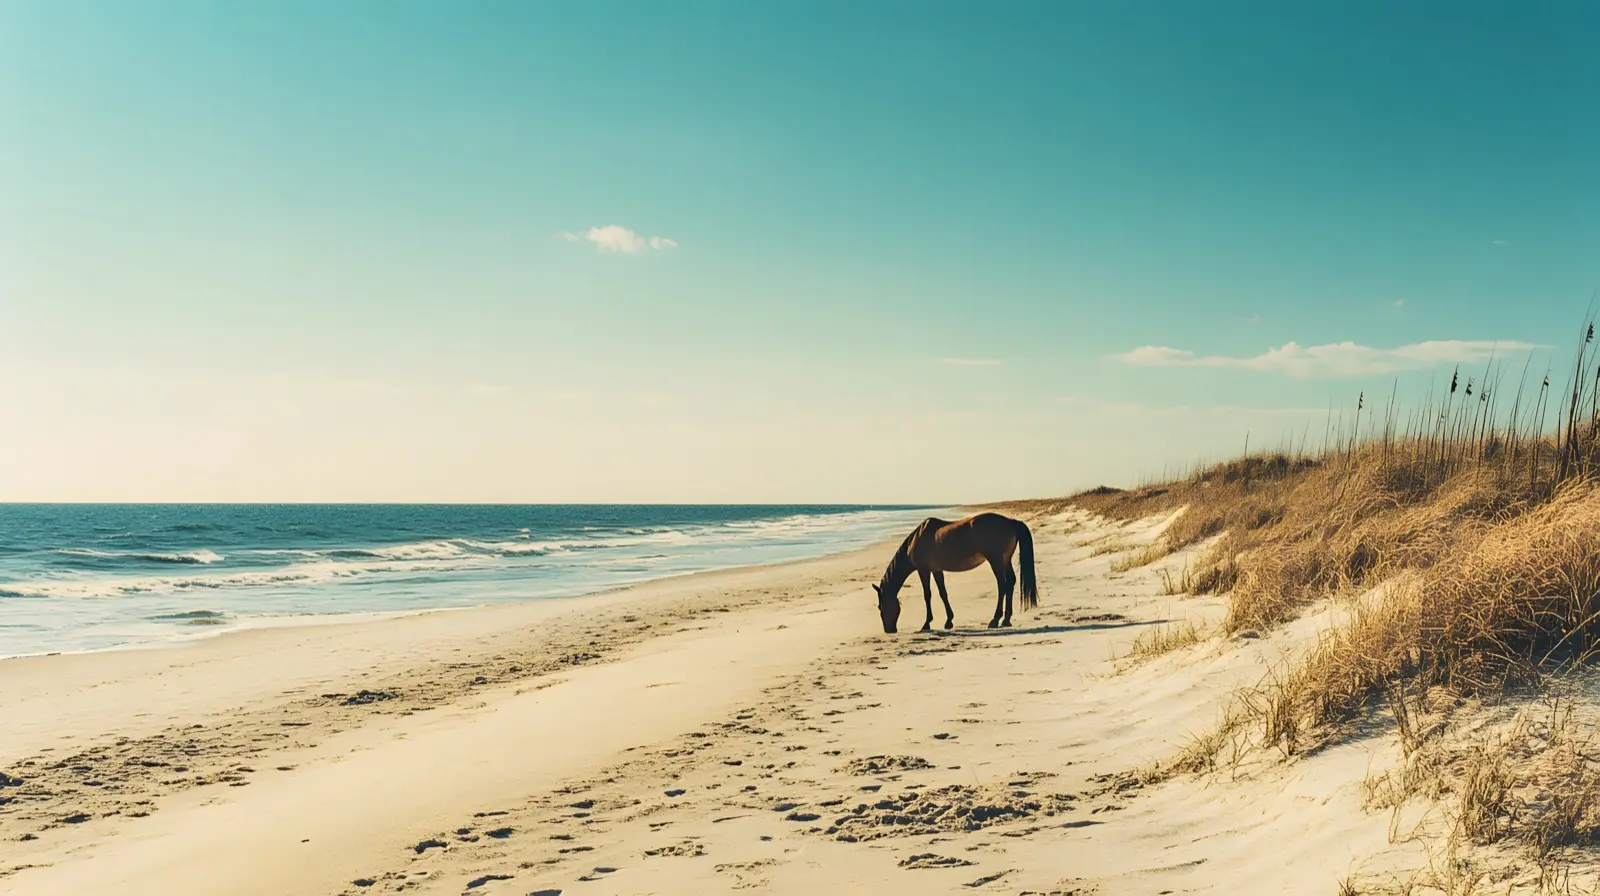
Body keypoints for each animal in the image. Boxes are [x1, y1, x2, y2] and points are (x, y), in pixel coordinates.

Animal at [870, 512, 1037, 634]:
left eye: (880, 606)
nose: (889, 630)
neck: (916, 539)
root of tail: (1010, 522)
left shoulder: (923, 570)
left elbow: (927, 595)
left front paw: (926, 624)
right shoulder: (936, 570)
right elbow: (943, 593)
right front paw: (948, 621)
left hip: (995, 560)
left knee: (1002, 584)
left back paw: (995, 620)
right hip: (1005, 560)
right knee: (1010, 582)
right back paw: (1006, 619)